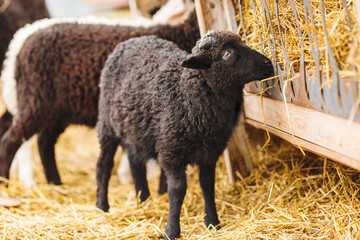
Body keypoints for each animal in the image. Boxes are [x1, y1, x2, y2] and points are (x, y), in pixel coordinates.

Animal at [95, 31, 272, 239]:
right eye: (227, 54)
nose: (269, 64)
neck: (185, 94)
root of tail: (128, 41)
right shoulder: (171, 152)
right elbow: (178, 190)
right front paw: (172, 230)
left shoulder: (210, 153)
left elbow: (207, 185)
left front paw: (212, 222)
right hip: (107, 124)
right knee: (104, 164)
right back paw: (102, 206)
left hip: (136, 132)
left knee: (135, 162)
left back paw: (144, 200)